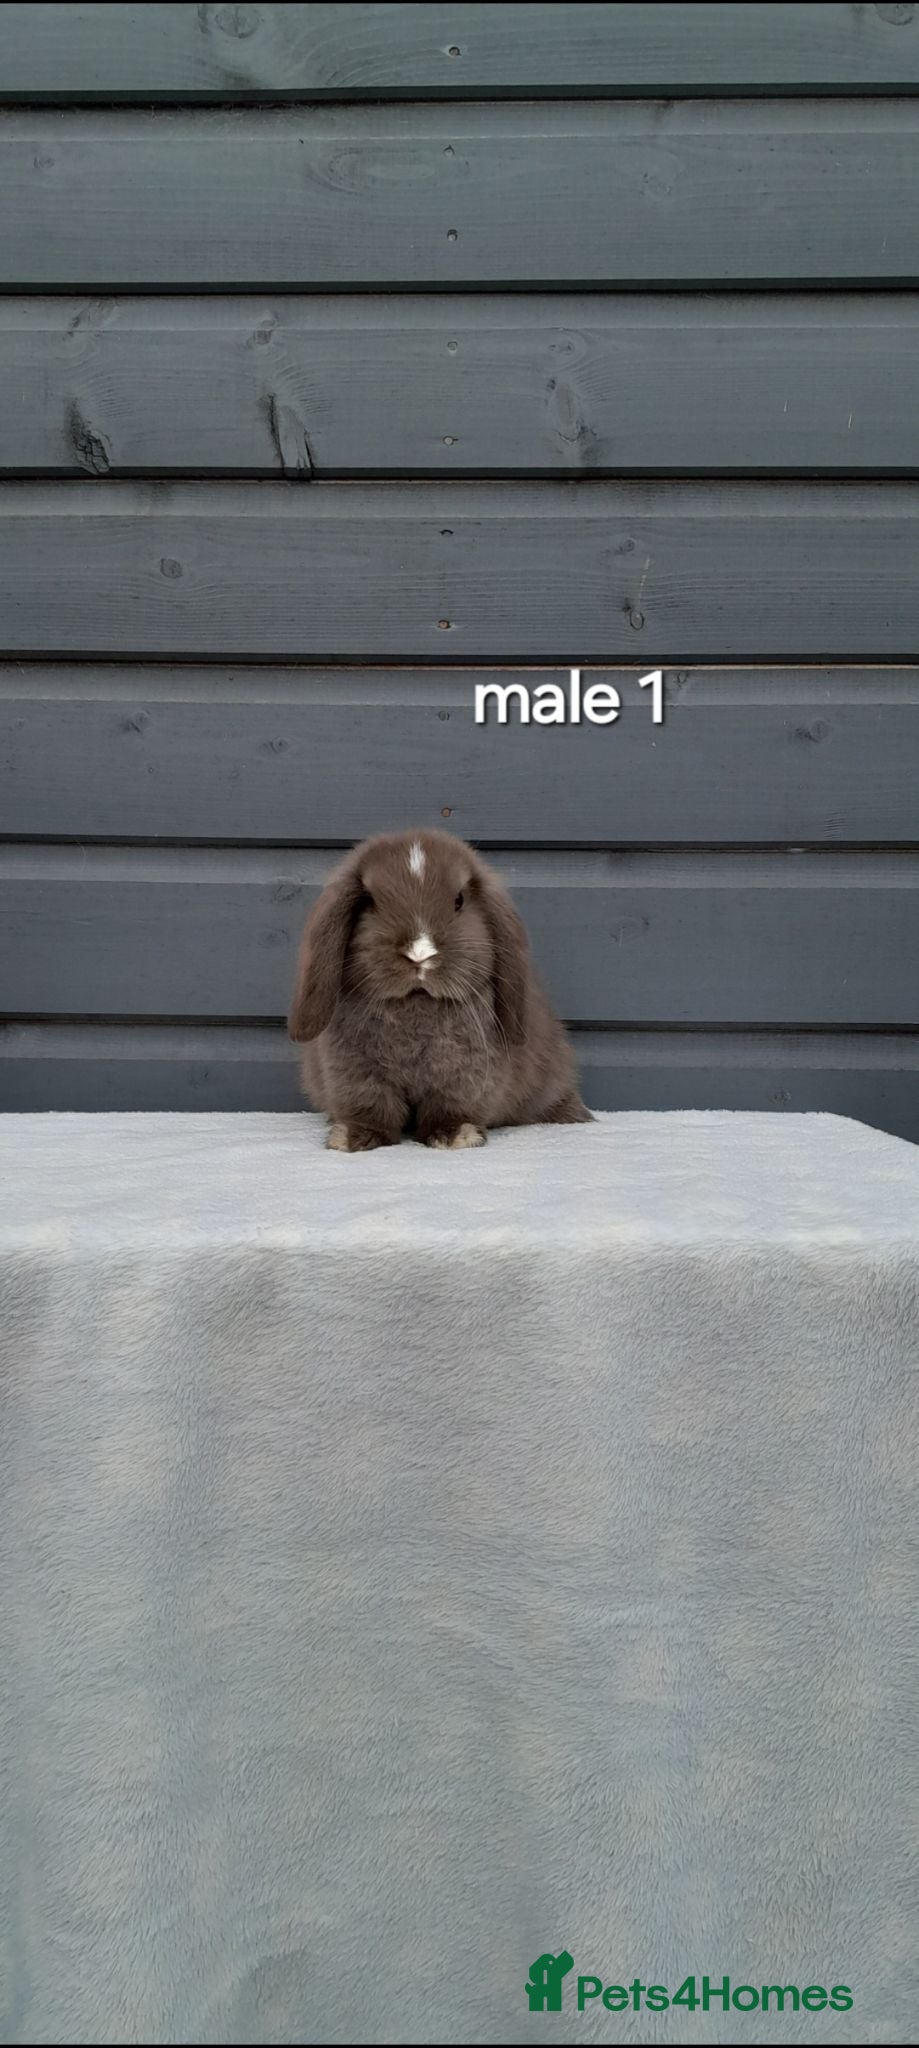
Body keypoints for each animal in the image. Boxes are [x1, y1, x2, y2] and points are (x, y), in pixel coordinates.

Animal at [287, 828, 591, 1151]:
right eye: (370, 901)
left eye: (459, 900)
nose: (420, 953)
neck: (415, 1003)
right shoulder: (356, 1074)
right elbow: (371, 1108)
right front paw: (351, 1138)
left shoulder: (463, 1077)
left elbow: (450, 1108)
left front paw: (456, 1136)